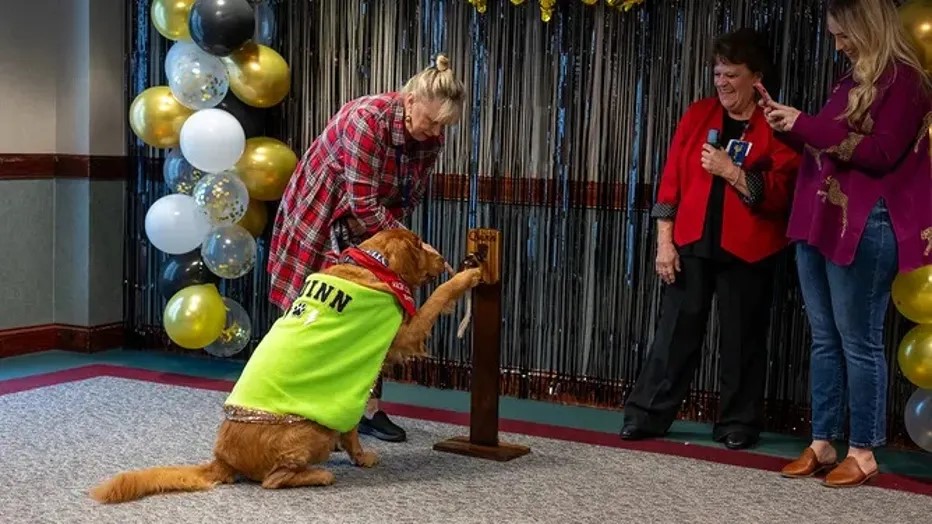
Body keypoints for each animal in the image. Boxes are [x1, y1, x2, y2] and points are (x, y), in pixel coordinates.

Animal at [89, 230, 480, 504]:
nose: (444, 257)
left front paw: (358, 456)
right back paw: (318, 474)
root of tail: (222, 459)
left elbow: (352, 428)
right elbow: (438, 298)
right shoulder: (406, 333)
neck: (372, 263)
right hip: (309, 431)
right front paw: (464, 278)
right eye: (419, 245)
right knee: (273, 480)